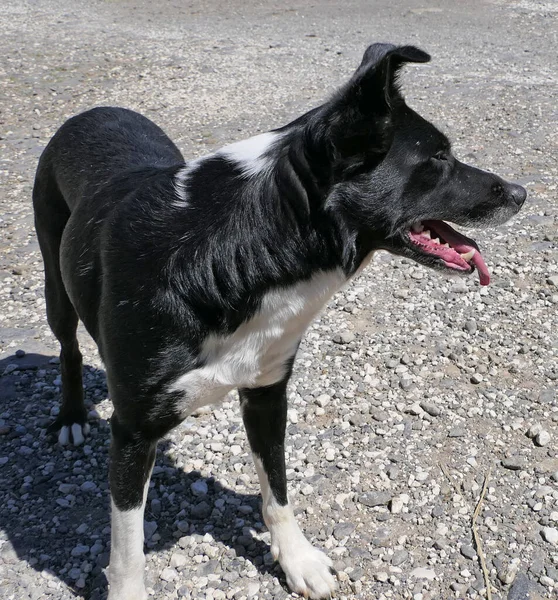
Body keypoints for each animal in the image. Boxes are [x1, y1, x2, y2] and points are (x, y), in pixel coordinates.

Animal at [35, 43, 528, 600]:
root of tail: (95, 111)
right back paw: (71, 416)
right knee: (68, 346)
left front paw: (297, 560)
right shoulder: (132, 430)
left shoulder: (268, 391)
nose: (521, 192)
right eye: (438, 158)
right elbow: (127, 550)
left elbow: (277, 489)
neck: (241, 251)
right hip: (55, 280)